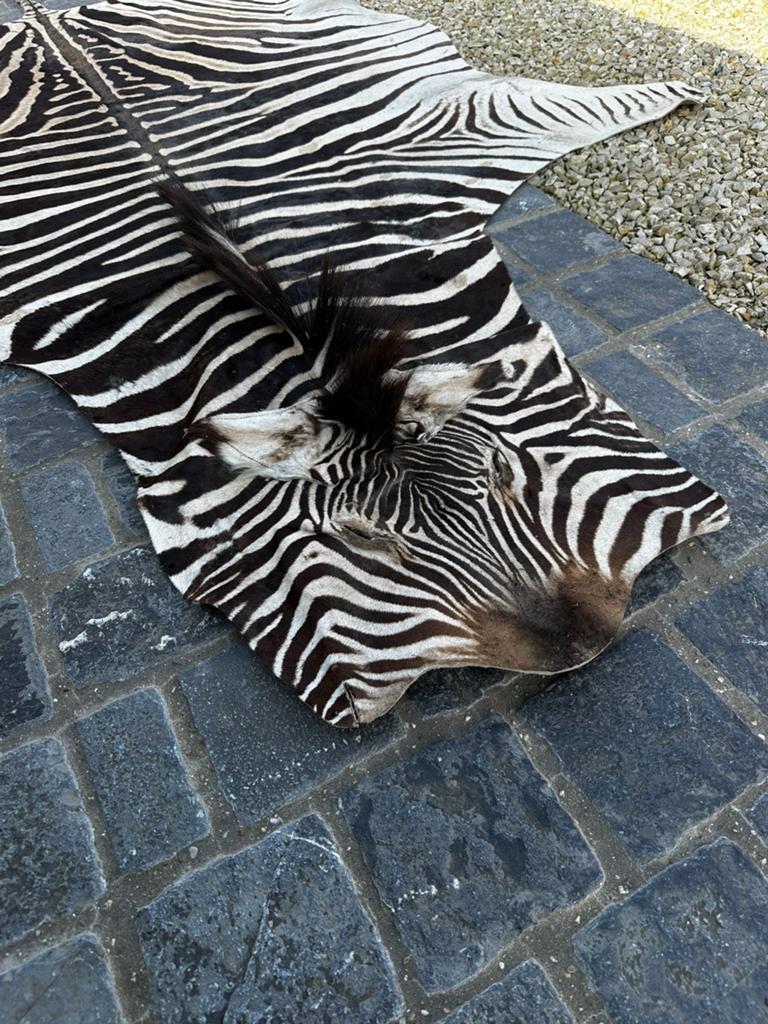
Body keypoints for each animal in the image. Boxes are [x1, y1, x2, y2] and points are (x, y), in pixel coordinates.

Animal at [0, 0, 728, 726]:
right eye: (361, 540)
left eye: (499, 471)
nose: (586, 645)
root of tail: (46, 16)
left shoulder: (446, 150)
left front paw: (686, 89)